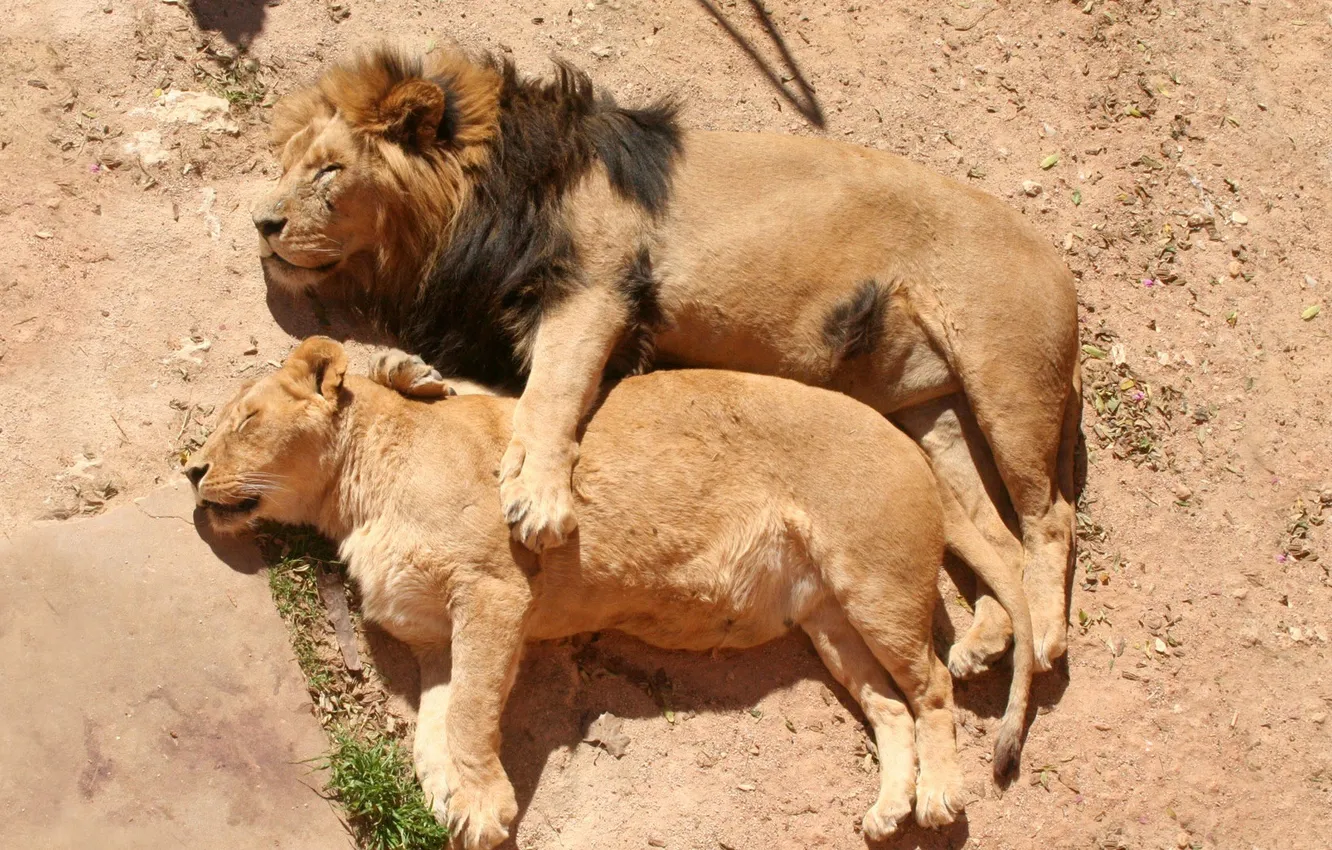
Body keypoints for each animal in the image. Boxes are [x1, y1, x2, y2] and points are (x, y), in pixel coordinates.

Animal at [185, 338, 1034, 849]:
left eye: (246, 419)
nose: (191, 471)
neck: (354, 498)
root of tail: (910, 445)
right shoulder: (433, 637)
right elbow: (432, 727)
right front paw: (446, 797)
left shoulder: (492, 594)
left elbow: (471, 715)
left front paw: (484, 807)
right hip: (829, 622)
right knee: (891, 706)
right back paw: (890, 808)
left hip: (877, 586)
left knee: (932, 686)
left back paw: (939, 799)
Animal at [252, 47, 1080, 675]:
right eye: (285, 164)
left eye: (328, 171)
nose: (261, 222)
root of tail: (1057, 258)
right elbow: (496, 396)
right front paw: (412, 379)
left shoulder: (598, 287)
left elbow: (551, 393)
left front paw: (539, 499)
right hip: (929, 416)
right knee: (996, 537)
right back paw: (987, 640)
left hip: (1009, 385)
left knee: (1050, 518)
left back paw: (1042, 638)